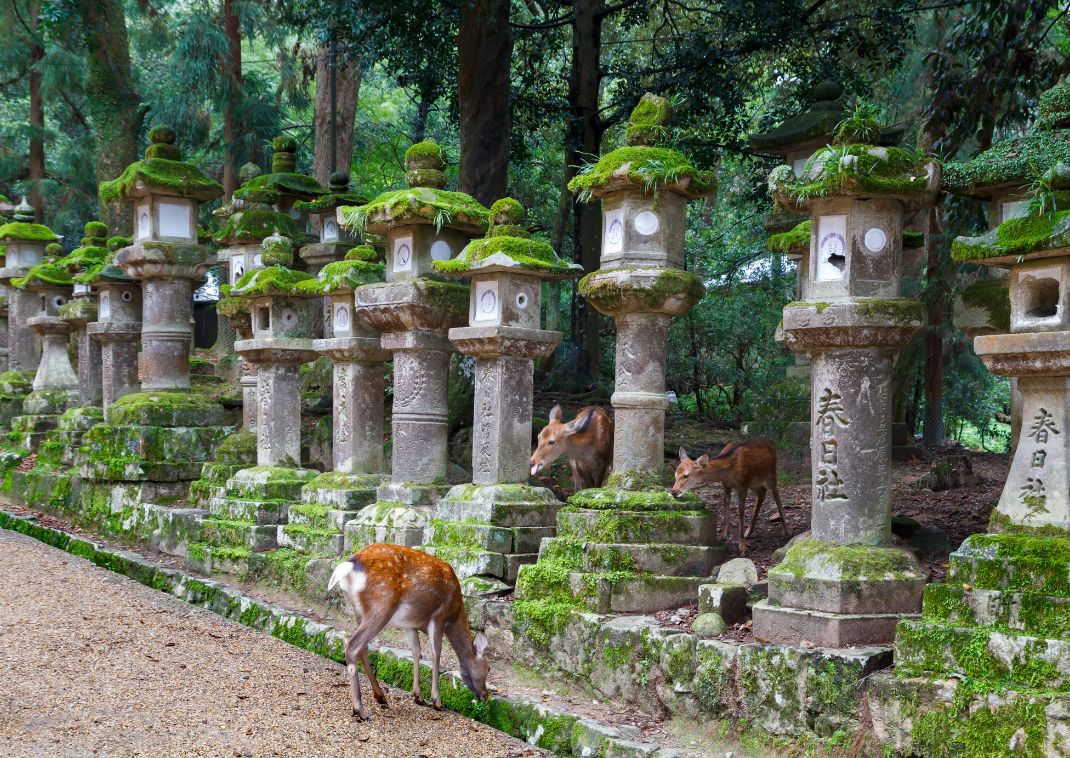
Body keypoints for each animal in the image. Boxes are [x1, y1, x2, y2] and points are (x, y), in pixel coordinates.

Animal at [327, 541, 490, 719]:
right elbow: (436, 654)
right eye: (488, 667)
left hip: (359, 611)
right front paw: (436, 701)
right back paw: (360, 710)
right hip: (381, 605)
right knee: (353, 646)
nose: (485, 695)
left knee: (363, 648)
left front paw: (418, 696)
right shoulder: (438, 618)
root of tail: (348, 566)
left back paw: (380, 696)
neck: (455, 614)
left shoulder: (410, 624)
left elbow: (416, 651)